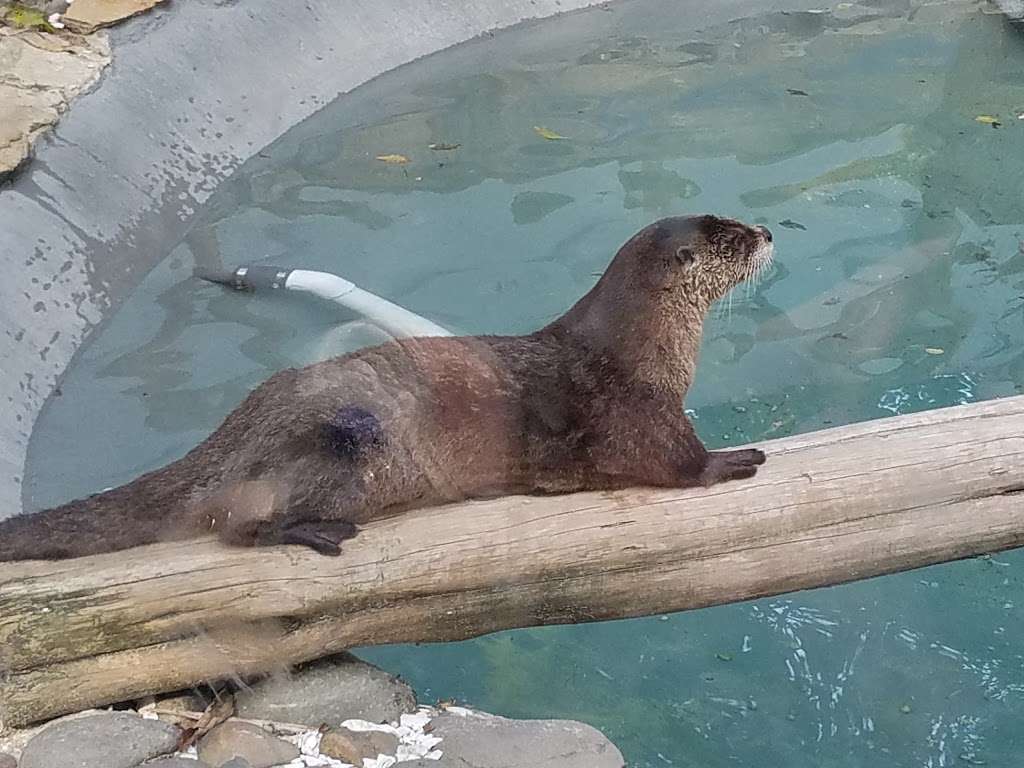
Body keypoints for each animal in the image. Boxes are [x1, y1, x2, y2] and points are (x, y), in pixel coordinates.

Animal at [0, 214, 770, 561]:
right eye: (730, 238)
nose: (764, 230)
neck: (643, 350)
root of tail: (236, 427)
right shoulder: (633, 409)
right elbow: (674, 465)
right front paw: (733, 461)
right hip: (346, 443)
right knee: (236, 521)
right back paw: (314, 530)